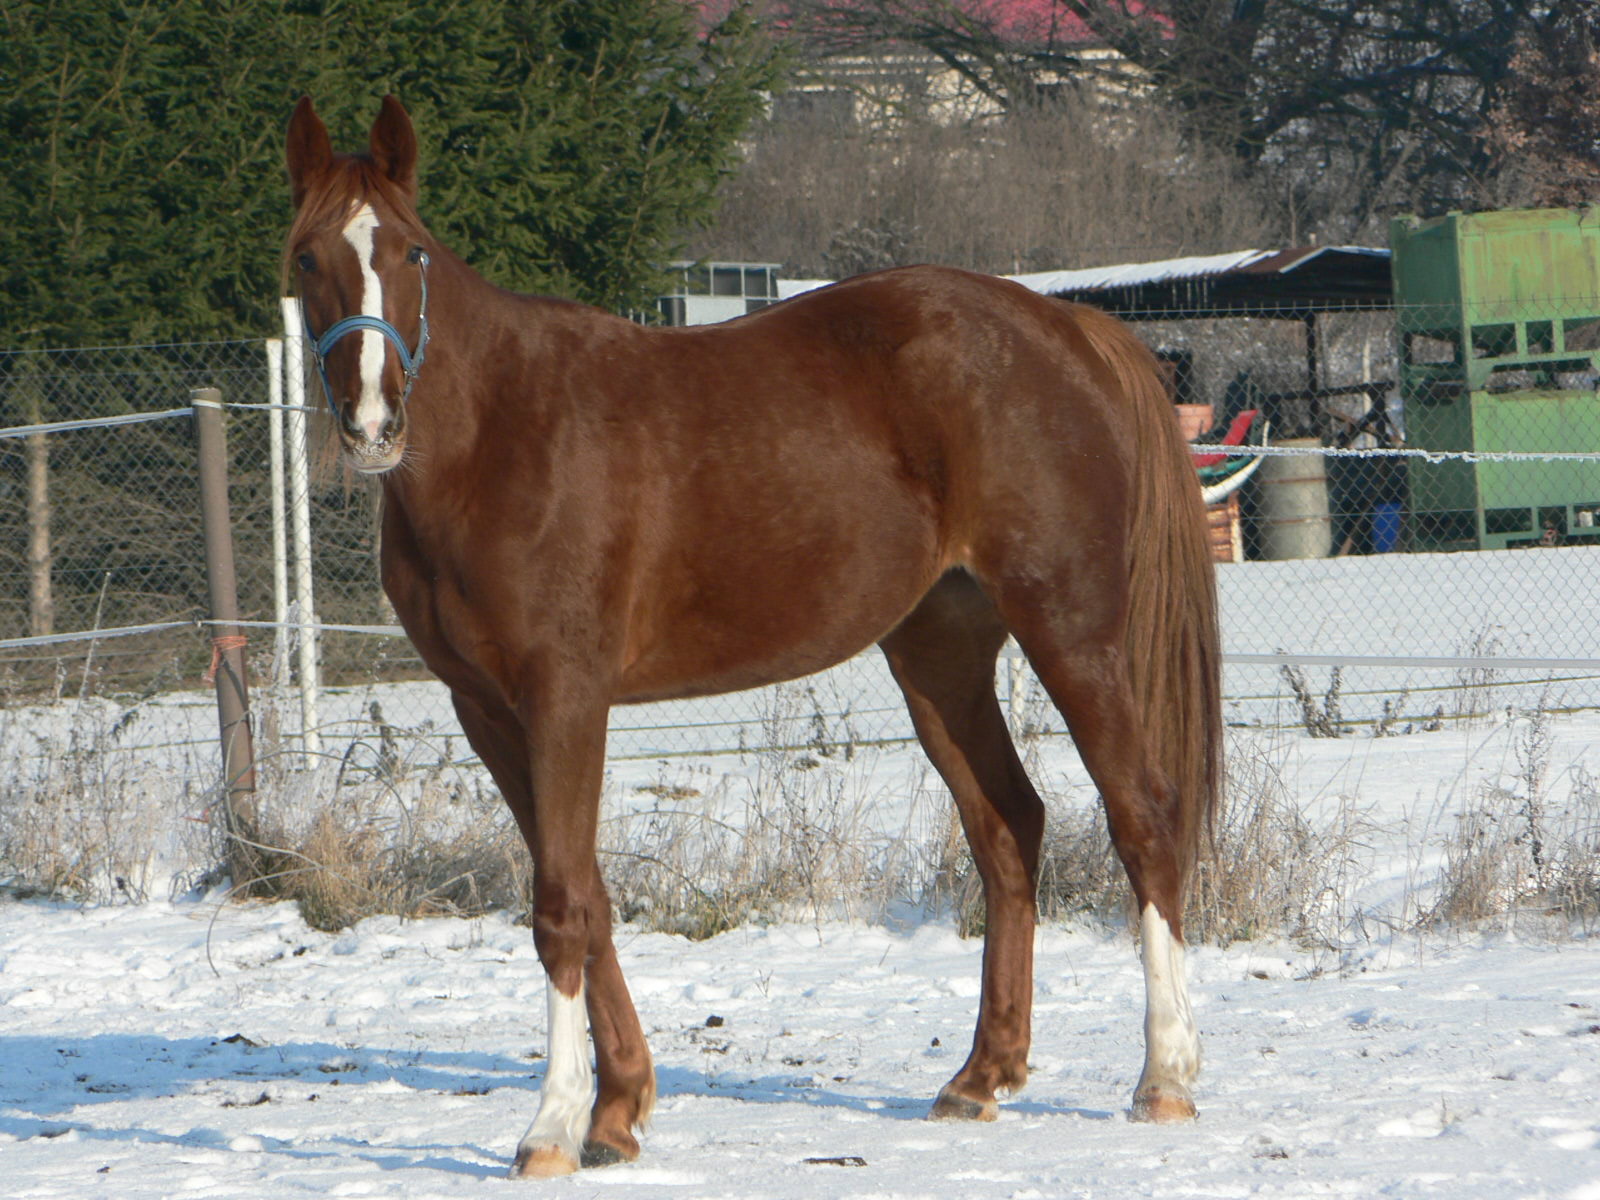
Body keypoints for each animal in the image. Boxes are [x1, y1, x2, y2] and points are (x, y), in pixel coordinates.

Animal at [281, 96, 1216, 1184]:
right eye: (307, 258)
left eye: (411, 253)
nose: (372, 422)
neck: (501, 437)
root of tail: (1065, 325)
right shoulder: (489, 712)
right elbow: (589, 896)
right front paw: (618, 1111)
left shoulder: (565, 698)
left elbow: (561, 906)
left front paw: (551, 1128)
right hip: (938, 657)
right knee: (1007, 829)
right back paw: (981, 1076)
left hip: (1071, 632)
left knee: (1142, 816)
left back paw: (1164, 1077)